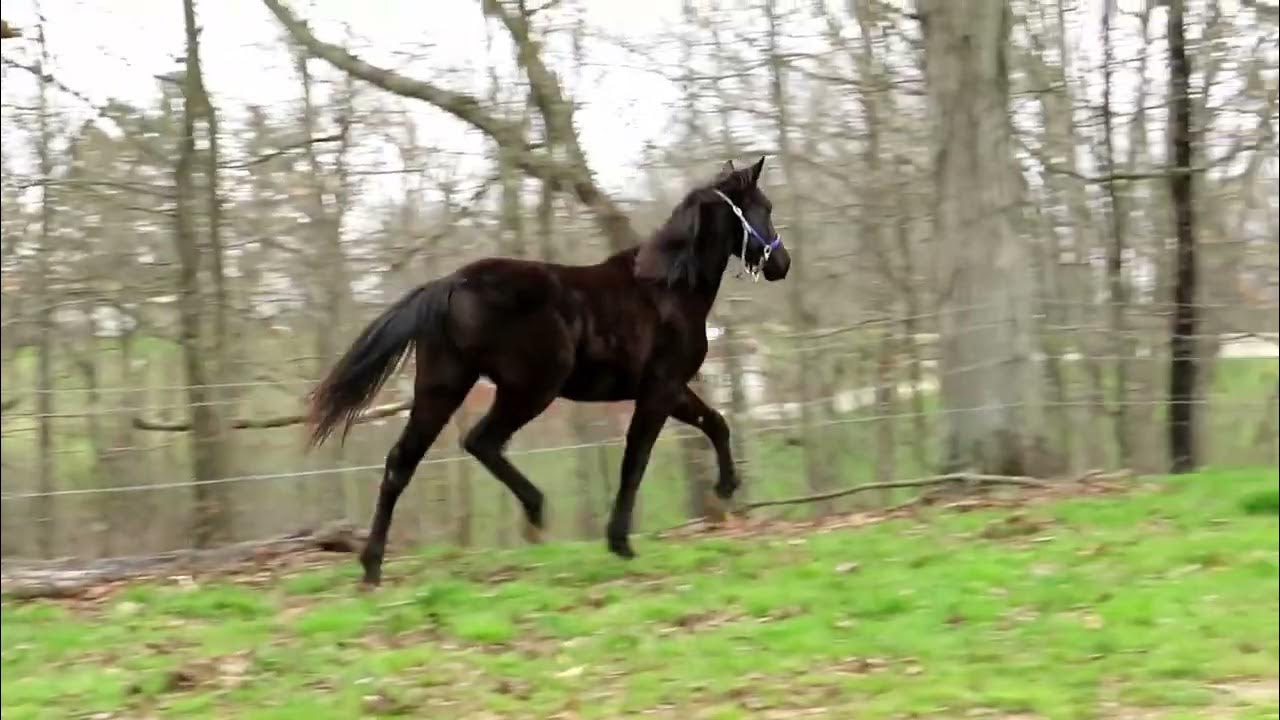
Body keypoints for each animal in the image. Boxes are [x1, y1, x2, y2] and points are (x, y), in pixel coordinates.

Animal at [306, 156, 790, 587]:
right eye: (764, 207)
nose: (781, 264)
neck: (667, 289)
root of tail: (450, 284)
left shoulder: (670, 389)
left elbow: (716, 422)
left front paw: (726, 485)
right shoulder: (659, 389)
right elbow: (636, 460)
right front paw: (620, 542)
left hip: (442, 387)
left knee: (401, 463)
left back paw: (372, 568)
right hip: (530, 388)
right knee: (479, 441)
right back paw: (536, 508)